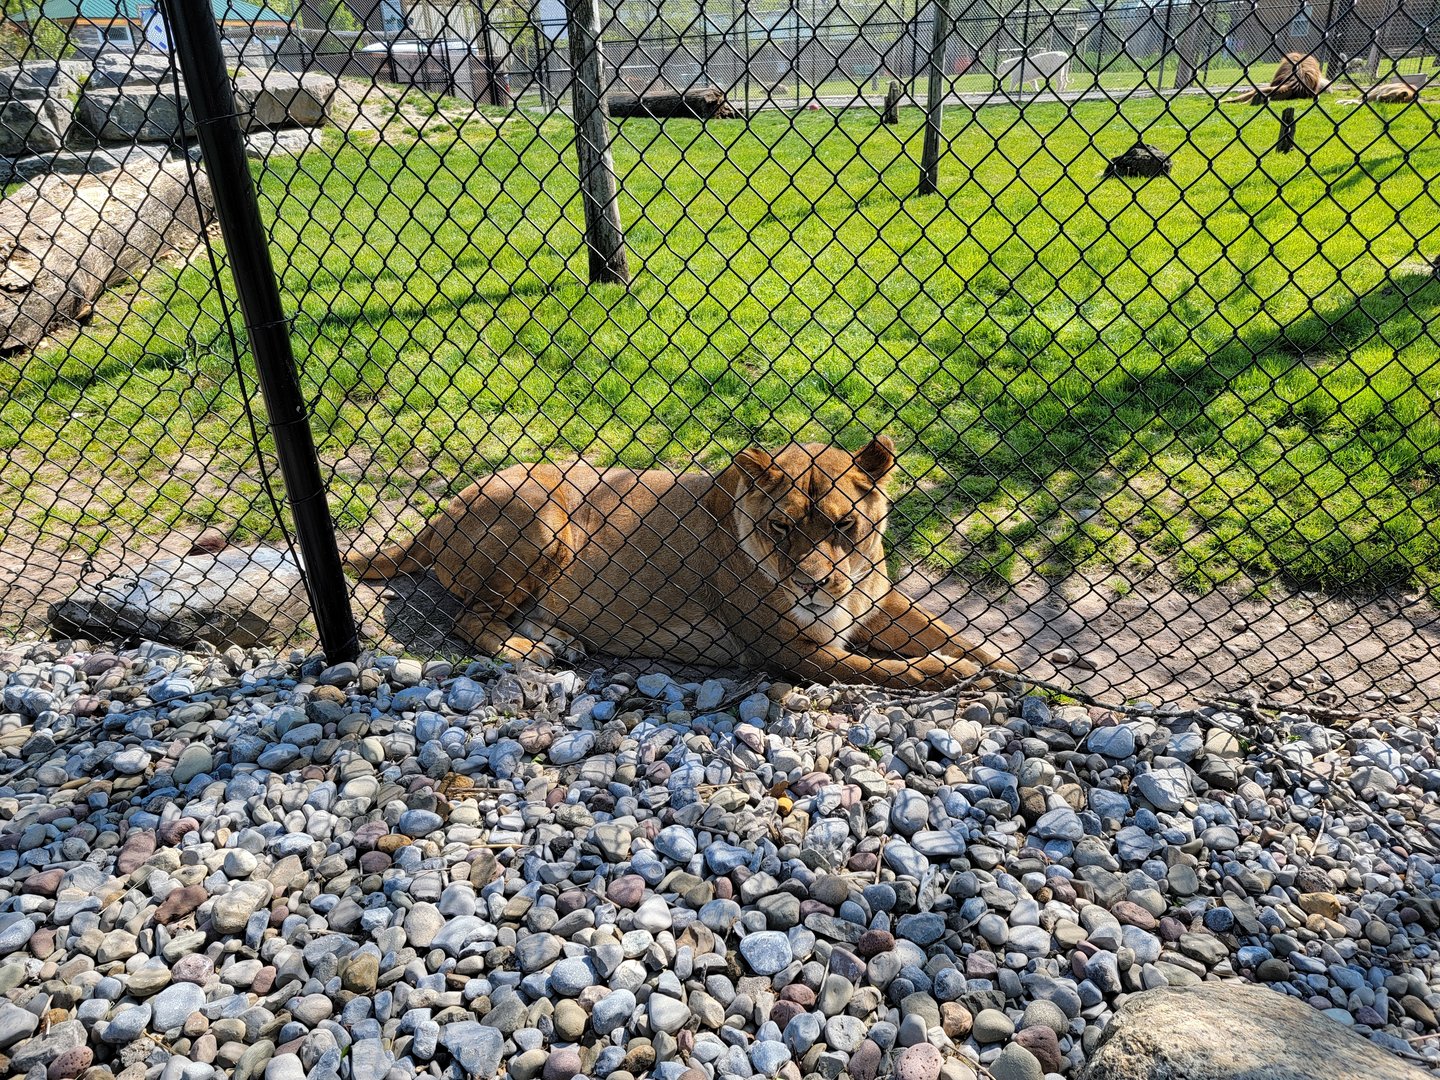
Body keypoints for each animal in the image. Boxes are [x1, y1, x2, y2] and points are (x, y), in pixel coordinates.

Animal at [345, 438, 1016, 690]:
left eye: (843, 525)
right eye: (781, 527)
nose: (812, 585)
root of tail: (439, 514)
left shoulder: (873, 602)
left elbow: (947, 629)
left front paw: (992, 660)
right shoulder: (791, 651)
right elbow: (888, 671)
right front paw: (955, 673)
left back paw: (556, 640)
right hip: (543, 517)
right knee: (469, 623)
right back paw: (529, 652)